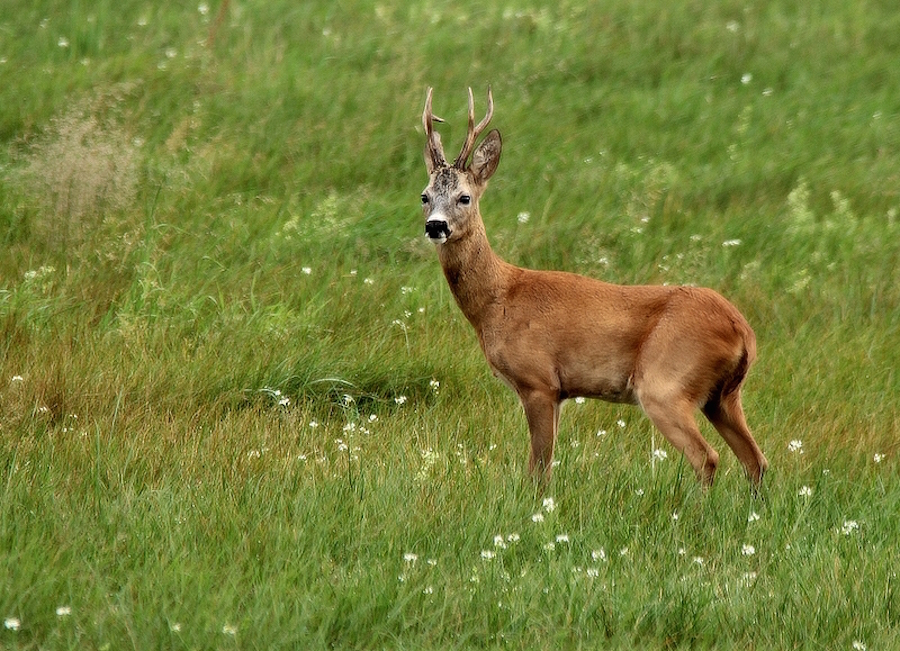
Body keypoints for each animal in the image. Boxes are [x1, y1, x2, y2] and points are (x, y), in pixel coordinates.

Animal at [418, 89, 768, 492]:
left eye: (464, 197)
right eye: (424, 195)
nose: (435, 226)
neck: (499, 301)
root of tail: (742, 330)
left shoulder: (539, 382)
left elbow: (539, 469)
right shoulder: (558, 393)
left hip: (665, 383)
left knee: (707, 457)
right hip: (723, 397)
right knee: (756, 461)